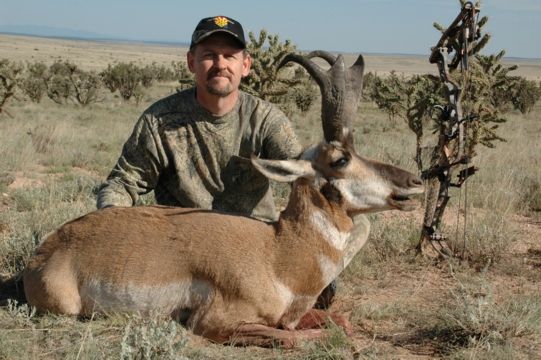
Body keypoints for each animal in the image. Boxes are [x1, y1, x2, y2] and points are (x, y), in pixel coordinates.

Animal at [24, 52, 422, 348]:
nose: (415, 181)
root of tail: (48, 248)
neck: (276, 253)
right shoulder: (215, 322)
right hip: (67, 307)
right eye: (340, 159)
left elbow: (339, 320)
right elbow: (302, 337)